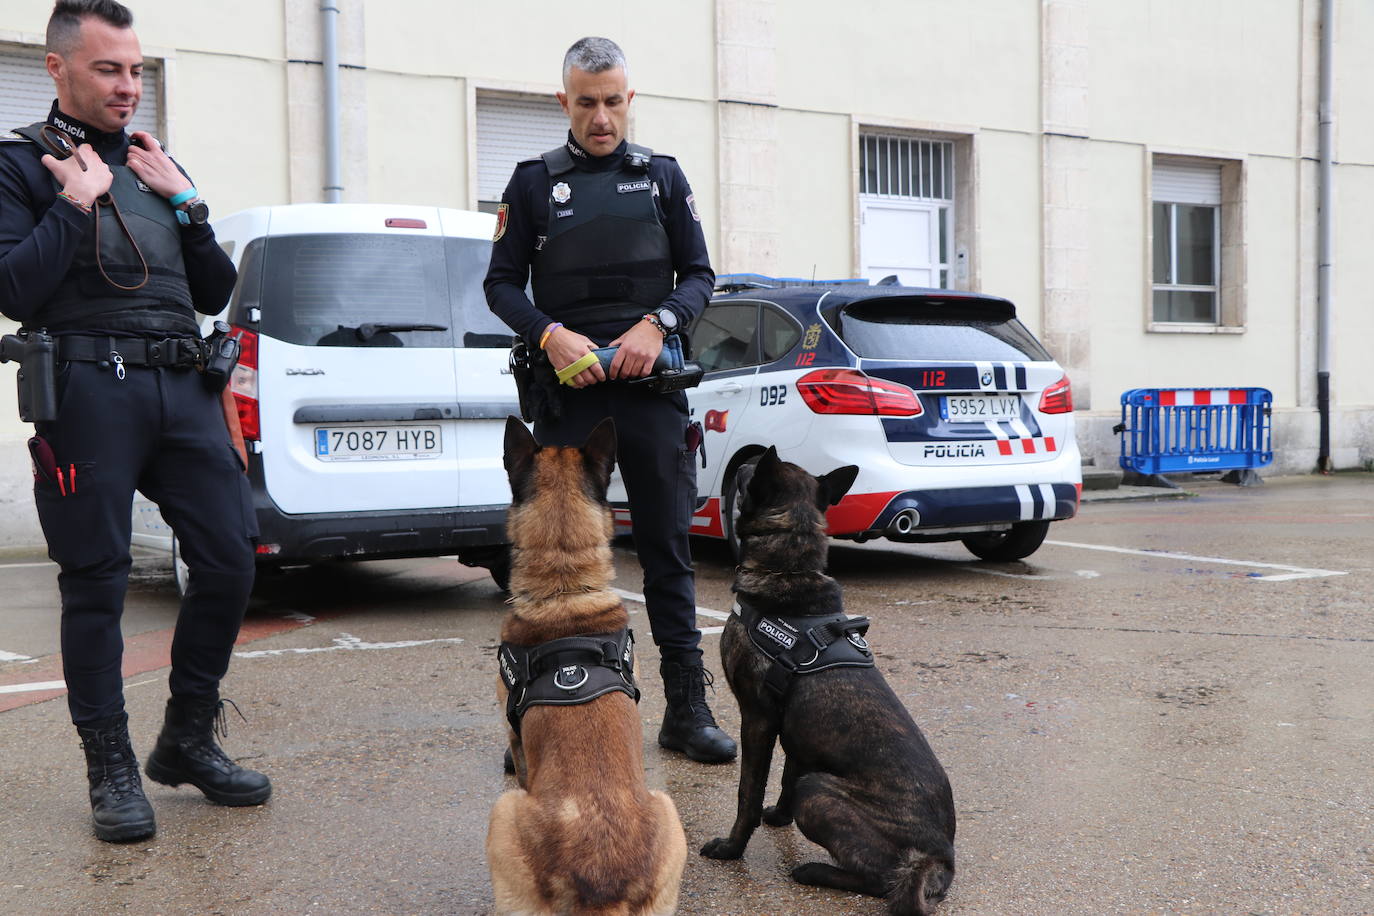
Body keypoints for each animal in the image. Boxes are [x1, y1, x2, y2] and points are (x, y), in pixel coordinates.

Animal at [697, 450, 956, 916]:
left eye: (749, 473)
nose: (743, 461)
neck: (788, 568)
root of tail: (940, 857)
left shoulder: (757, 720)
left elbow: (748, 792)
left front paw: (732, 848)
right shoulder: (794, 732)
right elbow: (785, 777)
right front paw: (778, 818)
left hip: (817, 791)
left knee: (880, 880)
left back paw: (814, 871)